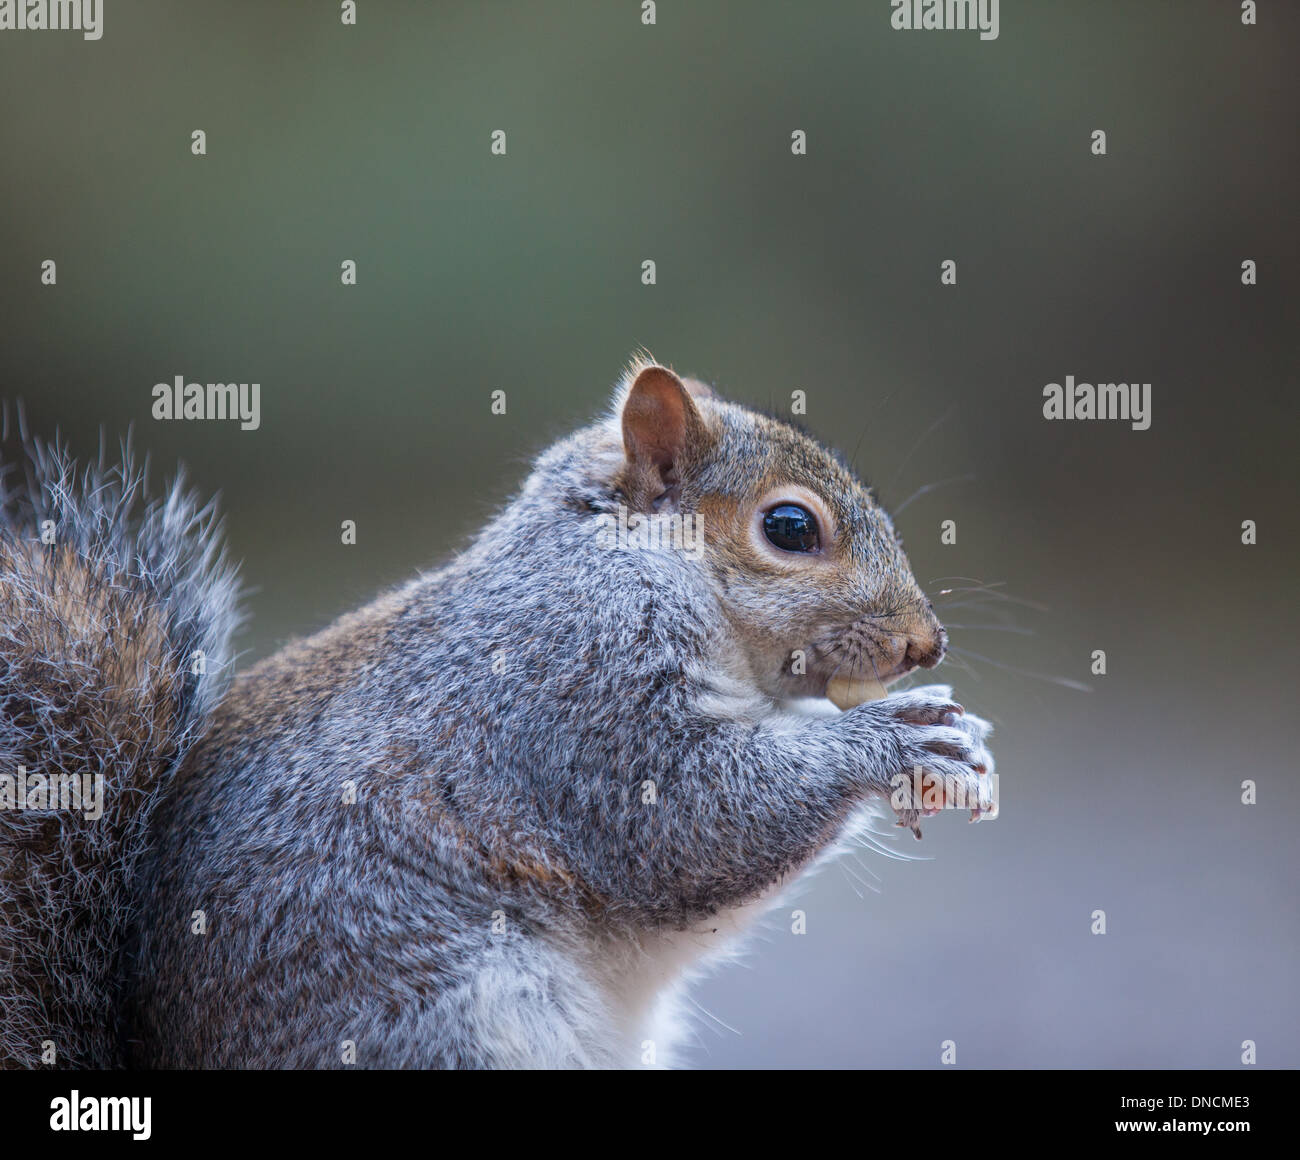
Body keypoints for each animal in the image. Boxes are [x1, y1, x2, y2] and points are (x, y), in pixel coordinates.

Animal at [0, 361, 993, 1071]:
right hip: (450, 1029)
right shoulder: (572, 683)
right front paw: (893, 735)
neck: (632, 559)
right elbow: (684, 821)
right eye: (790, 528)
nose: (925, 645)